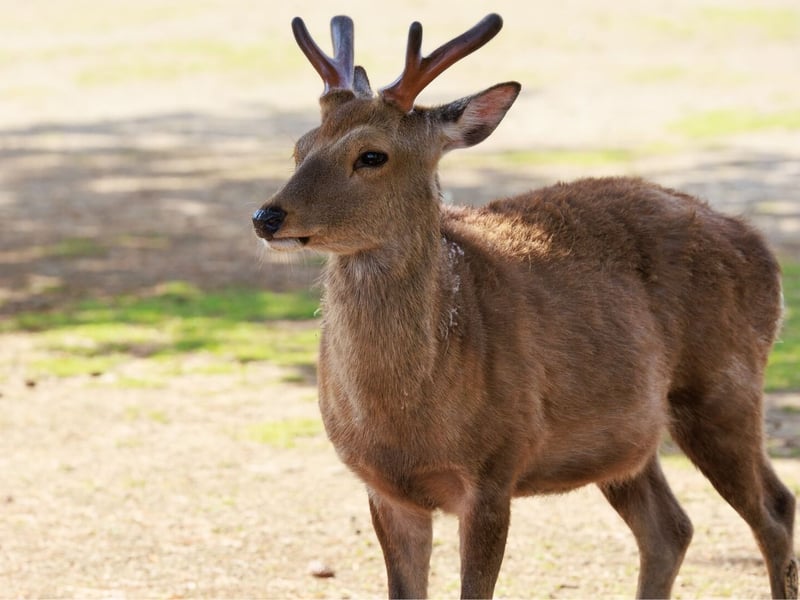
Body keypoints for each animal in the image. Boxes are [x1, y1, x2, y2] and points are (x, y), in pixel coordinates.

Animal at [251, 13, 798, 599]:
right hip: (625, 439)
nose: (267, 217)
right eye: (300, 146)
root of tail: (759, 246)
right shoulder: (383, 486)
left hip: (724, 385)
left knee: (775, 507)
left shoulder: (495, 468)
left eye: (371, 155)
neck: (408, 419)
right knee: (670, 527)